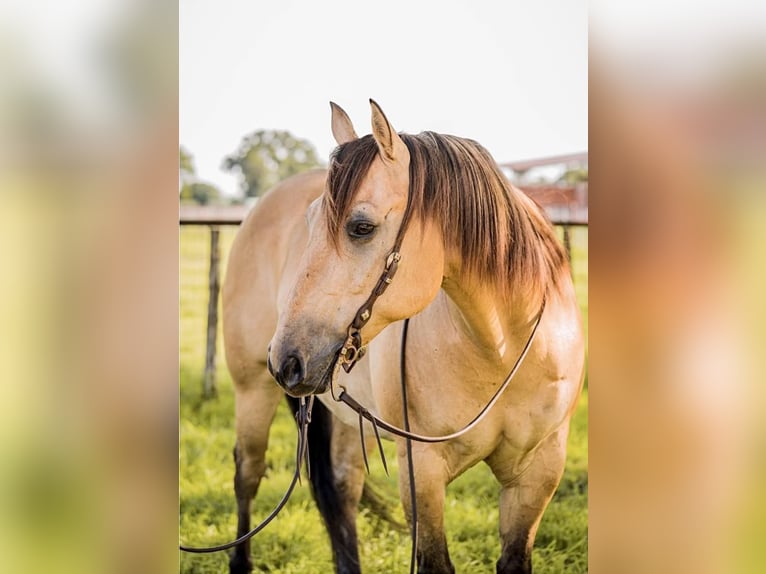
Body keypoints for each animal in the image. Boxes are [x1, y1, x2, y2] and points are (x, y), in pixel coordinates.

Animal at [222, 101, 588, 572]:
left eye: (361, 227)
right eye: (309, 221)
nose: (286, 358)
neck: (501, 348)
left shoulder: (538, 472)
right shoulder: (422, 471)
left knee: (342, 487)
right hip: (252, 389)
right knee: (248, 473)